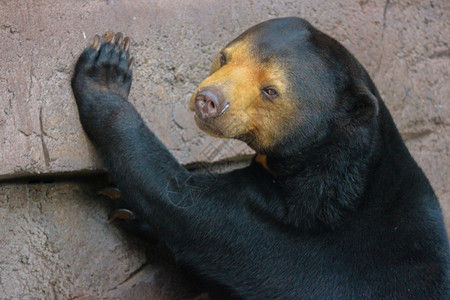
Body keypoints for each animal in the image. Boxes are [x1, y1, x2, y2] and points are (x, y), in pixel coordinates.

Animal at [71, 17, 450, 298]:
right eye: (225, 57)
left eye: (270, 91)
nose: (208, 100)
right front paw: (125, 207)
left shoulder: (298, 227)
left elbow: (184, 204)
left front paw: (106, 71)